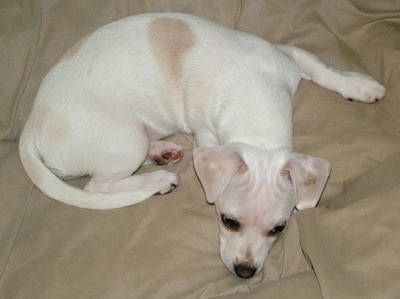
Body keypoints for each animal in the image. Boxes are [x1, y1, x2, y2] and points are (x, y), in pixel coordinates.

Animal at [18, 12, 384, 278]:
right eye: (228, 221)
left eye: (278, 229)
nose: (245, 272)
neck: (255, 118)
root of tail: (31, 123)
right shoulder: (206, 134)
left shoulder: (289, 55)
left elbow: (324, 69)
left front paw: (360, 86)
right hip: (125, 140)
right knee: (98, 185)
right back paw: (159, 179)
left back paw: (162, 152)